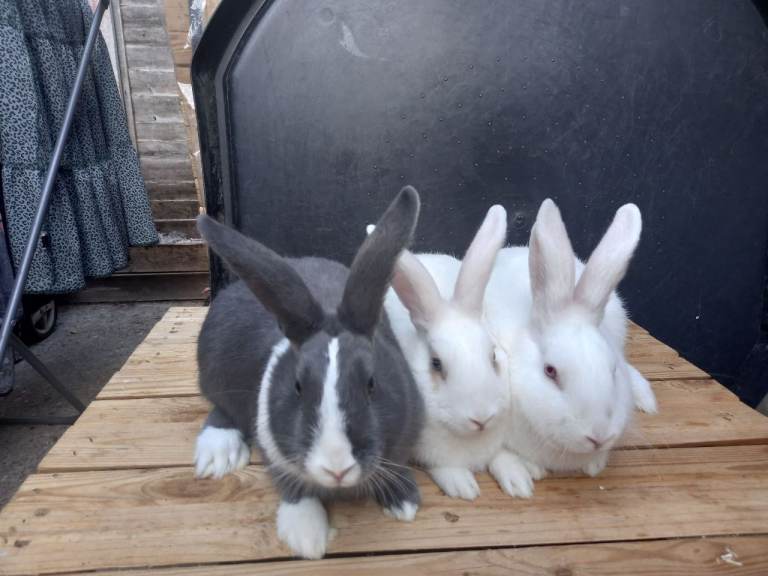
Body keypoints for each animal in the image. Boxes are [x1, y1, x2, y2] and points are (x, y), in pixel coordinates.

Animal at [193, 186, 425, 560]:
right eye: (298, 386)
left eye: (371, 384)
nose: (337, 467)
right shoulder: (274, 451)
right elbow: (292, 486)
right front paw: (308, 536)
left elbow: (398, 466)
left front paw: (403, 501)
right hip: (216, 377)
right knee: (221, 409)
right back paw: (218, 455)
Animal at [377, 205, 528, 500]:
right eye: (436, 364)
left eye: (494, 356)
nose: (481, 418)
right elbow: (444, 467)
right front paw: (464, 487)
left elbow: (502, 457)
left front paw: (519, 481)